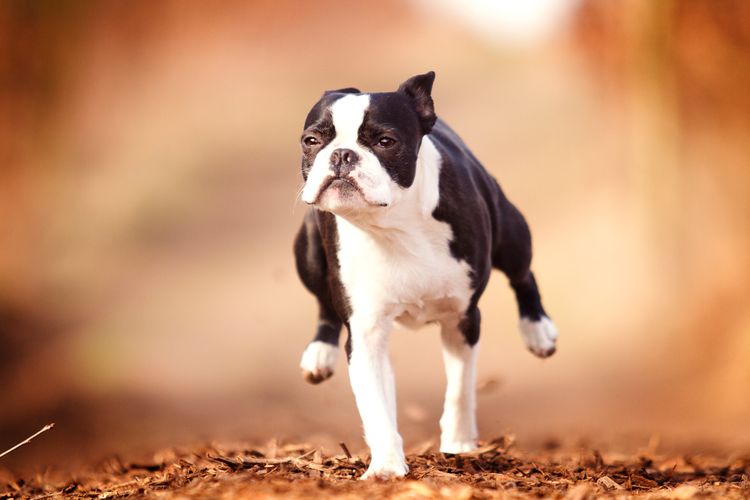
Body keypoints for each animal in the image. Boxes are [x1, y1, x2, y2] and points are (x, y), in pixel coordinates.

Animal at [294, 72, 560, 478]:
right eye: (311, 140)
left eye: (386, 141)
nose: (342, 154)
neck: (392, 226)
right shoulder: (367, 334)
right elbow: (376, 407)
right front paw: (386, 467)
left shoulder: (463, 319)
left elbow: (460, 388)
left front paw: (459, 445)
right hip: (307, 250)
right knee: (324, 302)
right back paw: (320, 354)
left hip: (512, 232)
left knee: (522, 274)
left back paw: (538, 330)